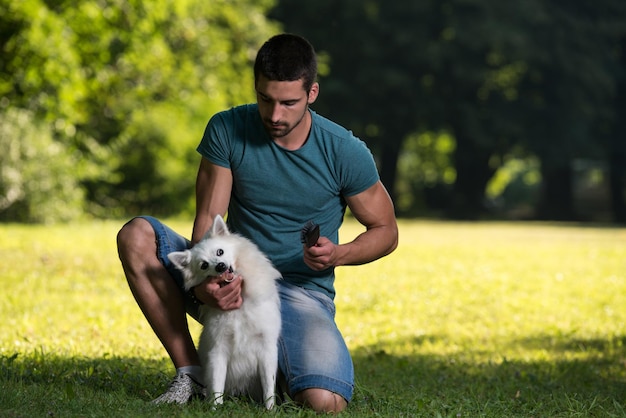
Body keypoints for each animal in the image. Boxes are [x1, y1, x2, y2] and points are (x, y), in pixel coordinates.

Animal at [168, 216, 280, 408]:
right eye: (204, 265)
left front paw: (270, 409)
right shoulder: (218, 350)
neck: (240, 301)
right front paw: (215, 408)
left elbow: (268, 384)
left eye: (220, 252)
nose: (220, 266)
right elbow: (217, 383)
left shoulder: (266, 347)